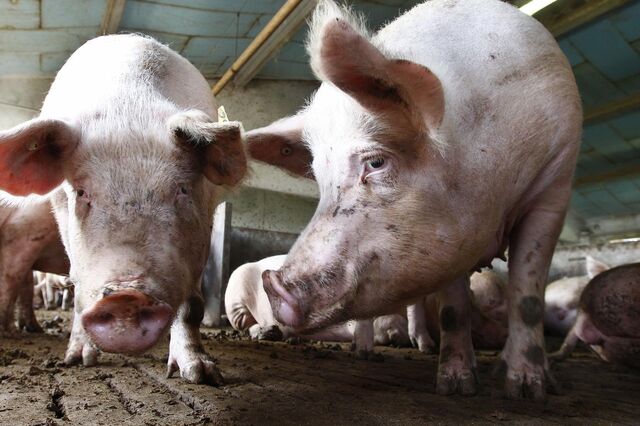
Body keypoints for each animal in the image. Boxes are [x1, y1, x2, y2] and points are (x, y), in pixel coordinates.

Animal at [246, 0, 581, 399]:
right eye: (319, 178)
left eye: (376, 162)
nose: (272, 284)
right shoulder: (451, 245)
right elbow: (453, 308)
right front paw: (455, 387)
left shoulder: (554, 183)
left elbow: (528, 297)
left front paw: (528, 391)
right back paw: (368, 354)